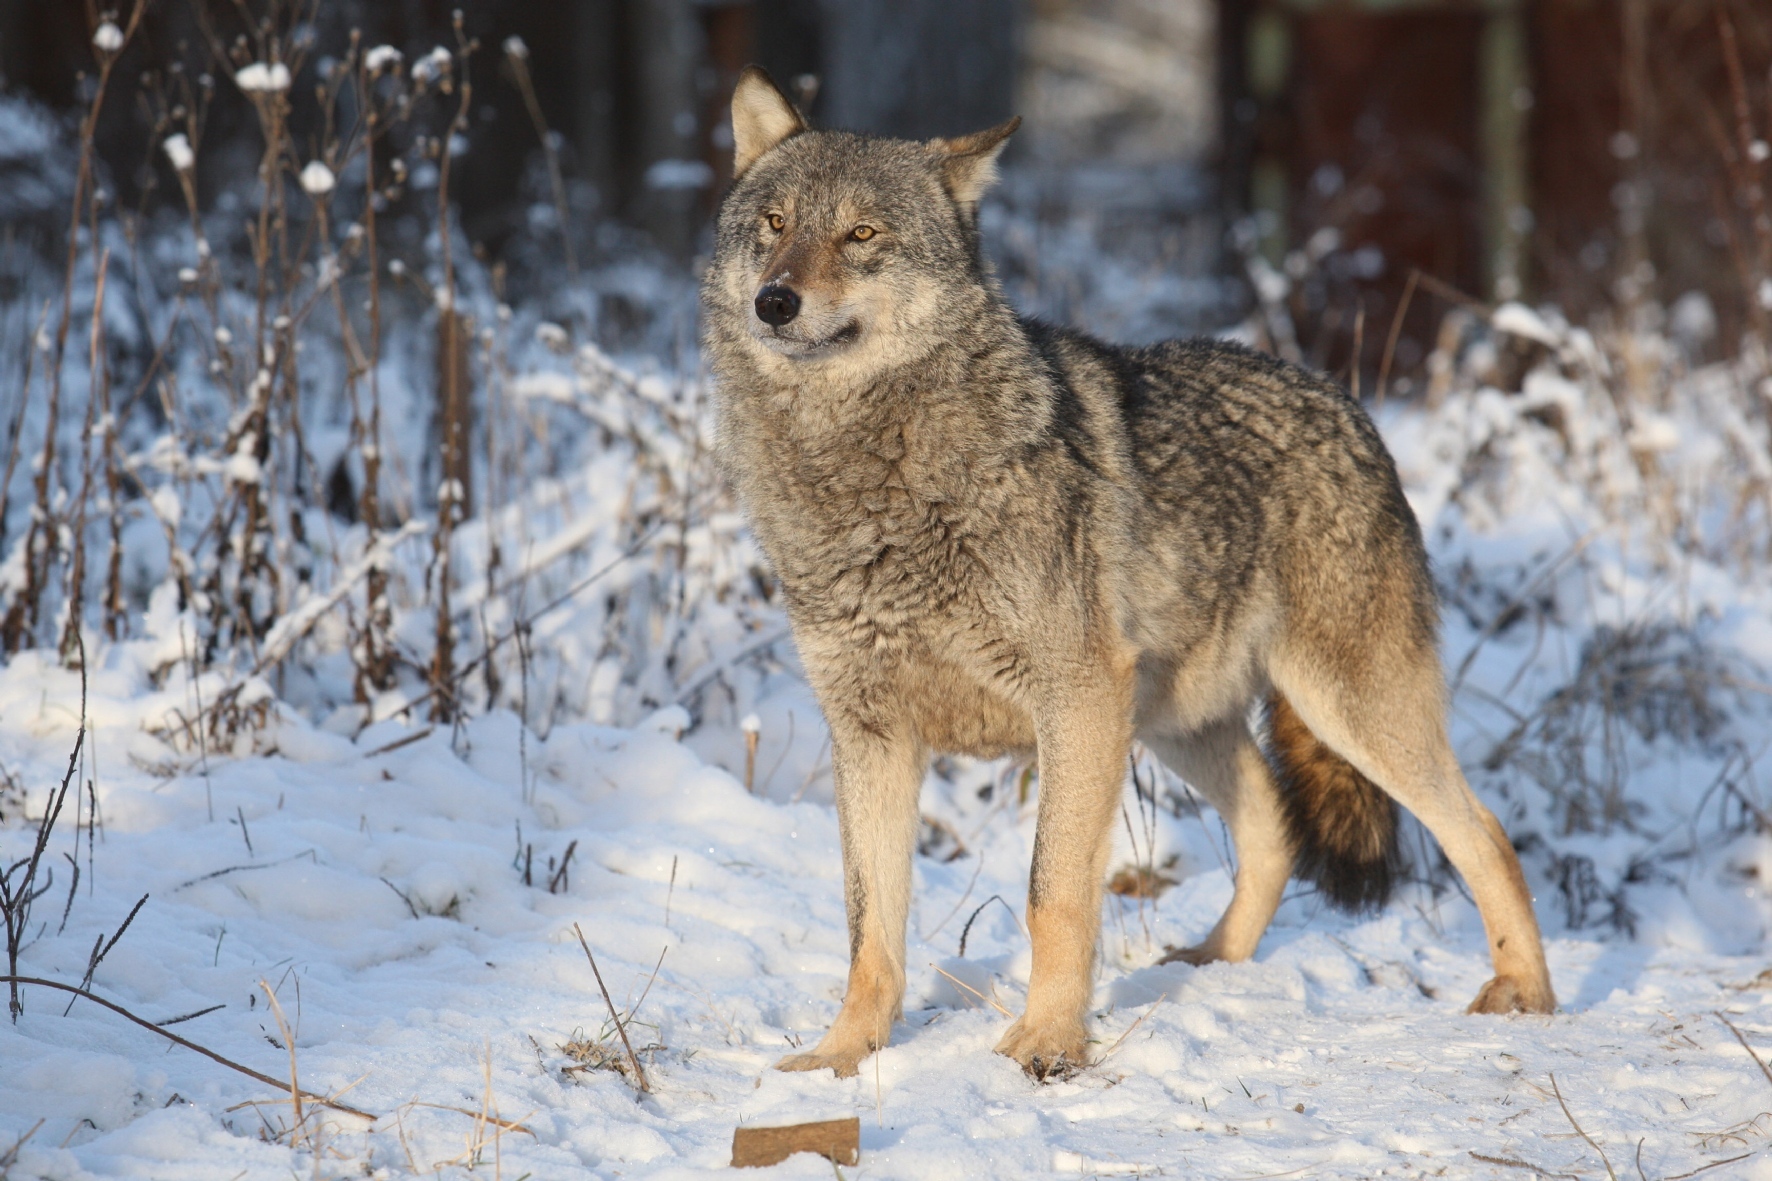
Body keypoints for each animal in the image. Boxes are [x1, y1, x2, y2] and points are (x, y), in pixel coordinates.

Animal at [698, 64, 1559, 1078]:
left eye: (862, 235)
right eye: (776, 223)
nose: (775, 301)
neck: (869, 479)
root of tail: (1346, 401)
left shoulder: (1073, 703)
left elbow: (1054, 893)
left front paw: (1045, 1044)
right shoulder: (871, 734)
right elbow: (870, 927)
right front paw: (841, 1057)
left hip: (1344, 714)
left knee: (1486, 833)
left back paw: (1526, 993)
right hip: (1175, 723)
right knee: (1274, 827)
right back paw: (1209, 964)